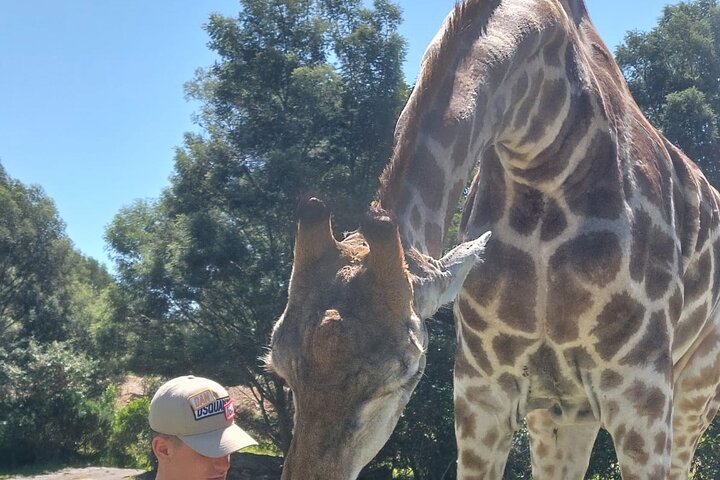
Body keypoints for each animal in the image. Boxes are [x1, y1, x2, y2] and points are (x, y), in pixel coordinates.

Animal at [267, 0, 720, 478]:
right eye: (279, 365)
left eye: (404, 374)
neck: (543, 144)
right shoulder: (480, 390)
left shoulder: (639, 390)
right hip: (564, 409)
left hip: (692, 396)